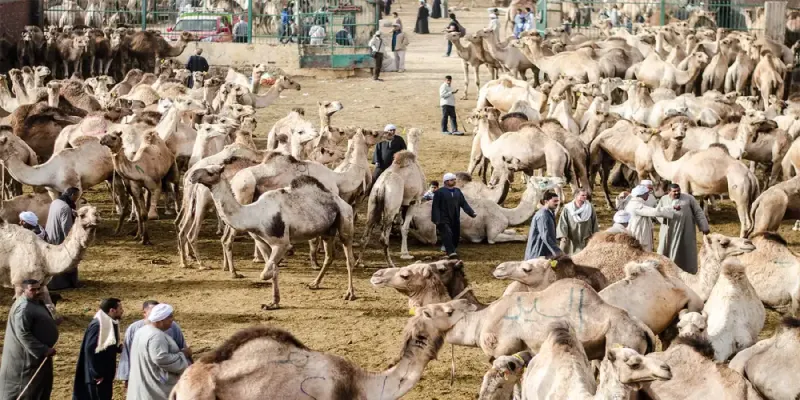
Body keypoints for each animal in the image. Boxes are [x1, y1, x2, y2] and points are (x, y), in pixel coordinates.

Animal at [189, 168, 356, 310]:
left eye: (211, 172)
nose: (192, 175)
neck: (253, 214)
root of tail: (342, 202)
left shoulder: (281, 242)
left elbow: (266, 272)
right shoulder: (262, 241)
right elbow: (272, 268)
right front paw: (273, 303)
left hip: (345, 220)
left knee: (349, 258)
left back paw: (350, 294)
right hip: (327, 230)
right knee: (329, 256)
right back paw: (314, 284)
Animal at [360, 129, 425, 266]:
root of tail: (382, 186)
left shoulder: (402, 204)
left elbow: (401, 224)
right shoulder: (414, 201)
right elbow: (405, 228)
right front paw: (406, 254)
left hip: (373, 203)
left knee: (365, 234)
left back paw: (359, 262)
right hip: (391, 206)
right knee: (383, 238)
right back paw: (391, 264)